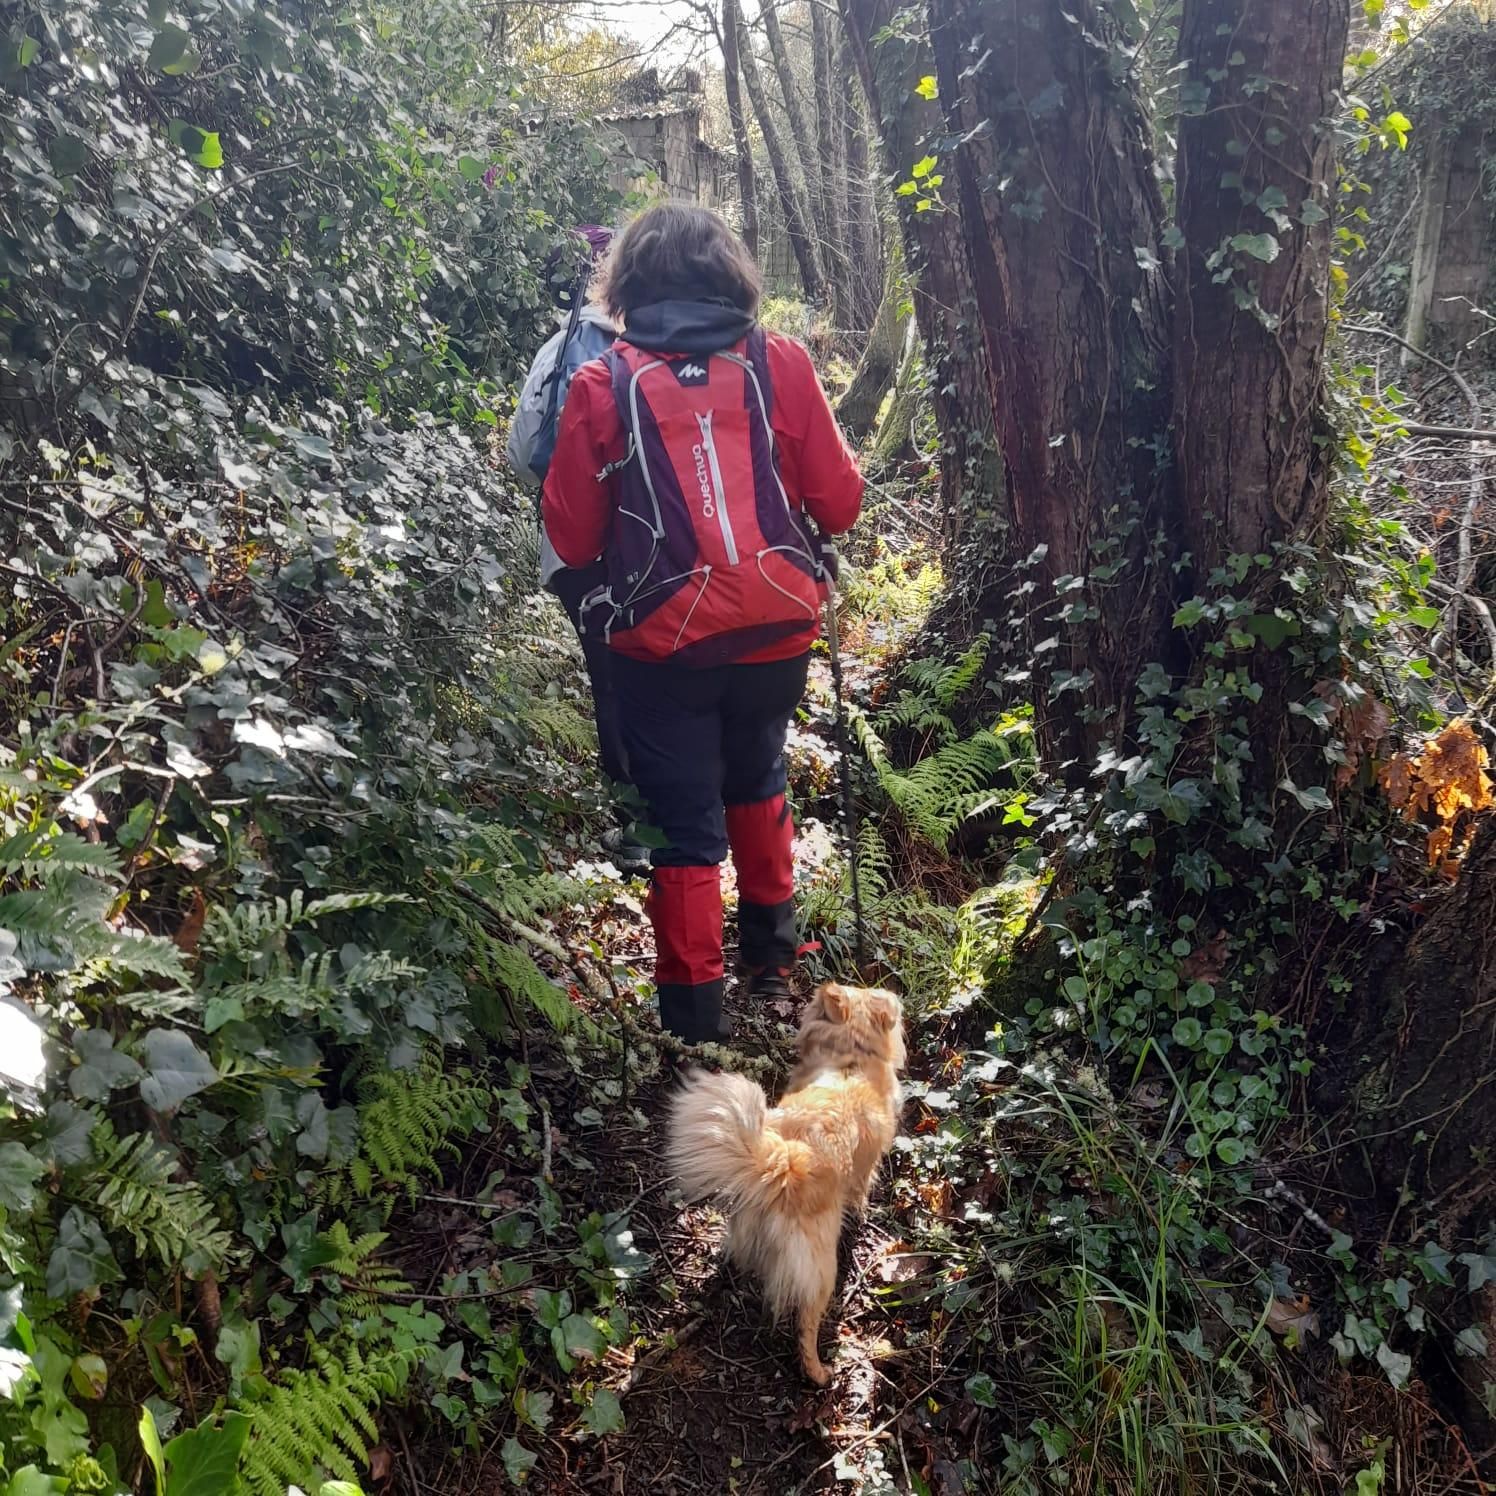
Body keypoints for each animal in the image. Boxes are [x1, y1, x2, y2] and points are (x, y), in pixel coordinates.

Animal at [670, 987, 903, 1382]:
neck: (851, 1057)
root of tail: (788, 1163)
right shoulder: (865, 1169)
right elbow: (861, 1191)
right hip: (821, 1270)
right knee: (806, 1326)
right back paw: (819, 1371)